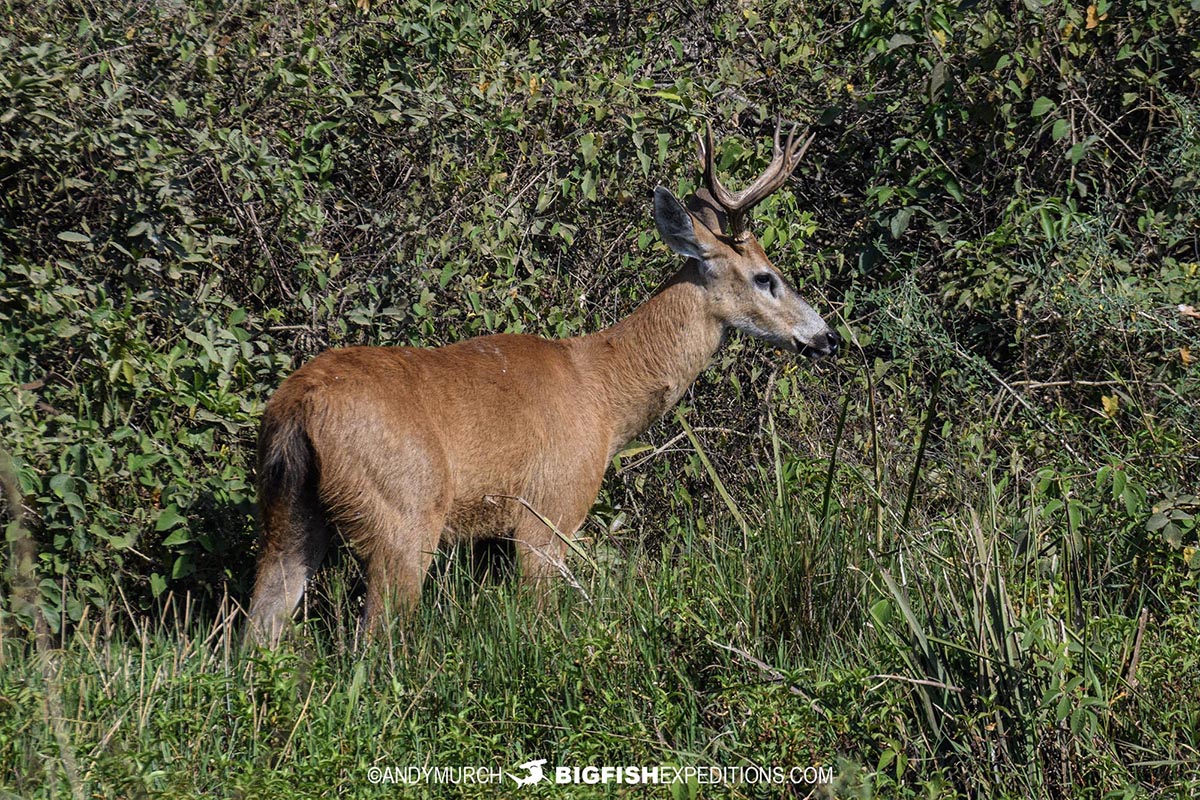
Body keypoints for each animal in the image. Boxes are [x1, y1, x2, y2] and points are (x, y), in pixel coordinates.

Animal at [247, 122, 841, 644]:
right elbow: (540, 623)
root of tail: (299, 409)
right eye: (766, 278)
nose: (828, 337)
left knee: (258, 628)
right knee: (373, 640)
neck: (603, 392)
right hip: (405, 514)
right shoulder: (551, 510)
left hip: (287, 512)